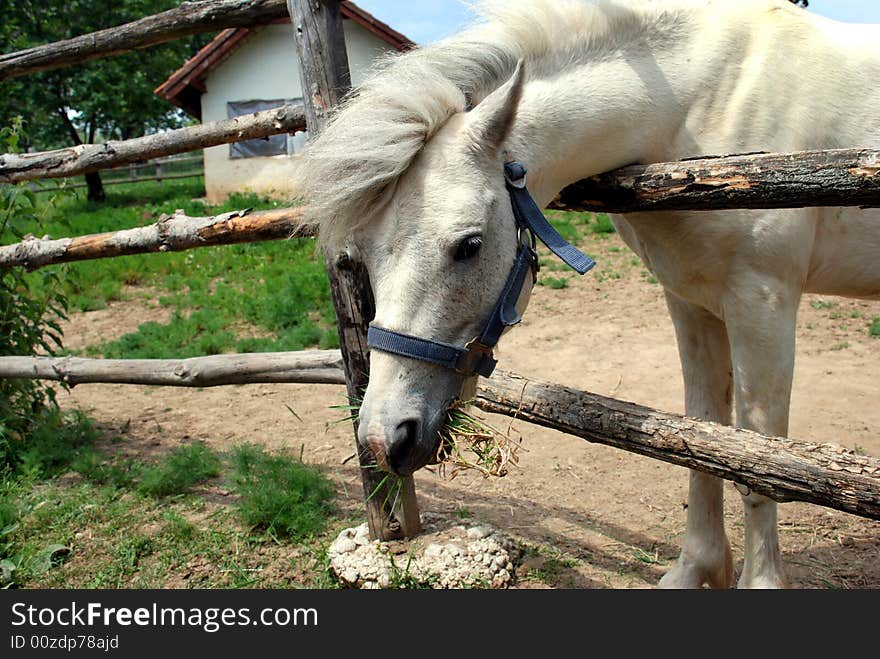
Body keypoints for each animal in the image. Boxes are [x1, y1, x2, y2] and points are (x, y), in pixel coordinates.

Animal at [296, 0, 880, 588]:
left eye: (469, 245)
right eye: (362, 254)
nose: (383, 439)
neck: (700, 102)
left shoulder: (763, 303)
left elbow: (759, 459)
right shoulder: (691, 300)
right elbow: (705, 439)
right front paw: (697, 567)